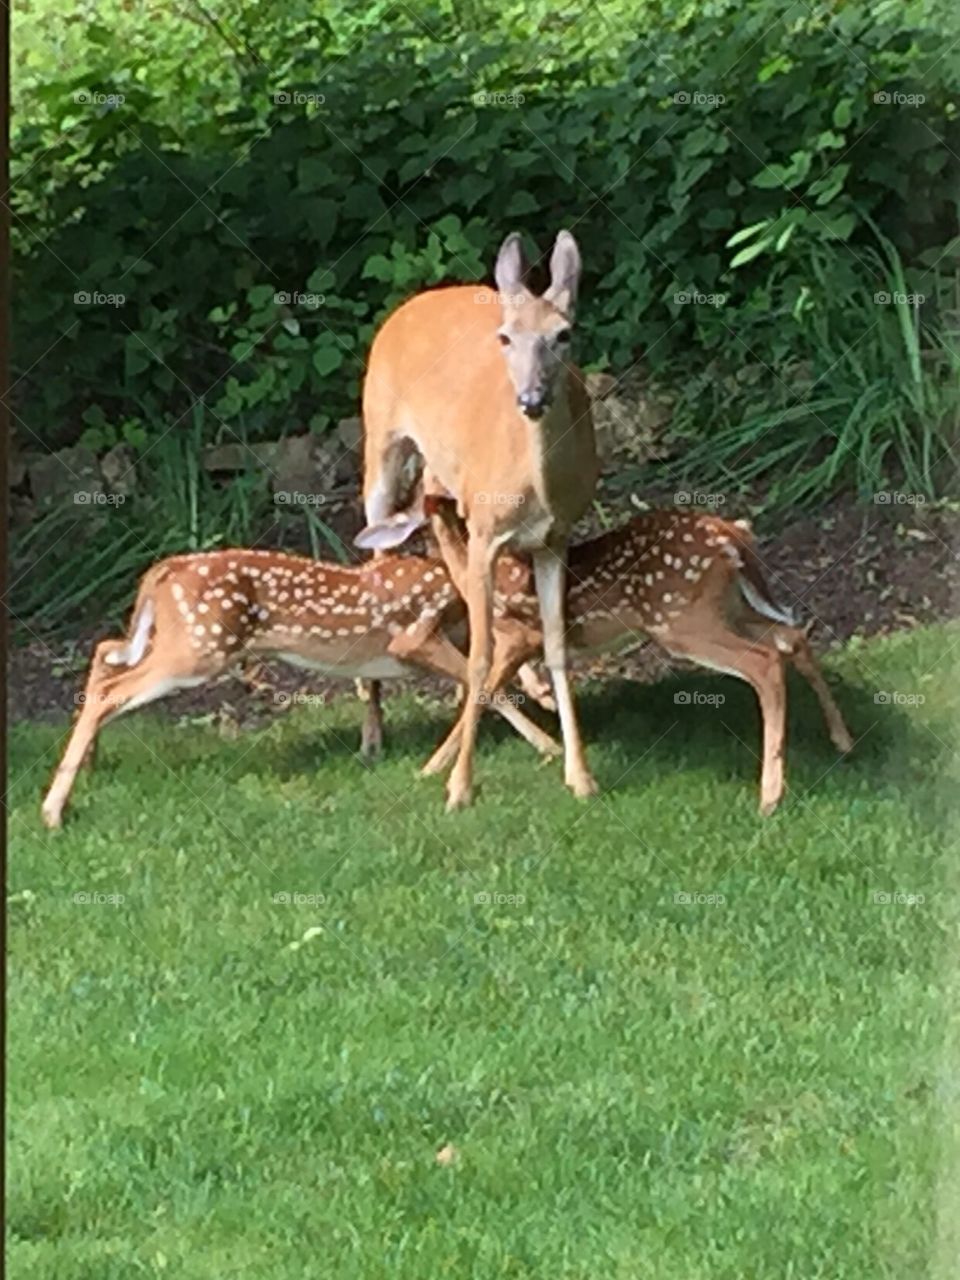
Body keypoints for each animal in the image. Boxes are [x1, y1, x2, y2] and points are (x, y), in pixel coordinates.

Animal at [358, 231, 599, 808]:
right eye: (505, 338)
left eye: (563, 334)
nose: (531, 399)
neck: (537, 484)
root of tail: (414, 301)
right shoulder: (487, 533)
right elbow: (480, 655)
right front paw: (459, 786)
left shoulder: (555, 538)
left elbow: (558, 645)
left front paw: (580, 775)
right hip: (380, 443)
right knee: (374, 559)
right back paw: (372, 734)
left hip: (443, 489)